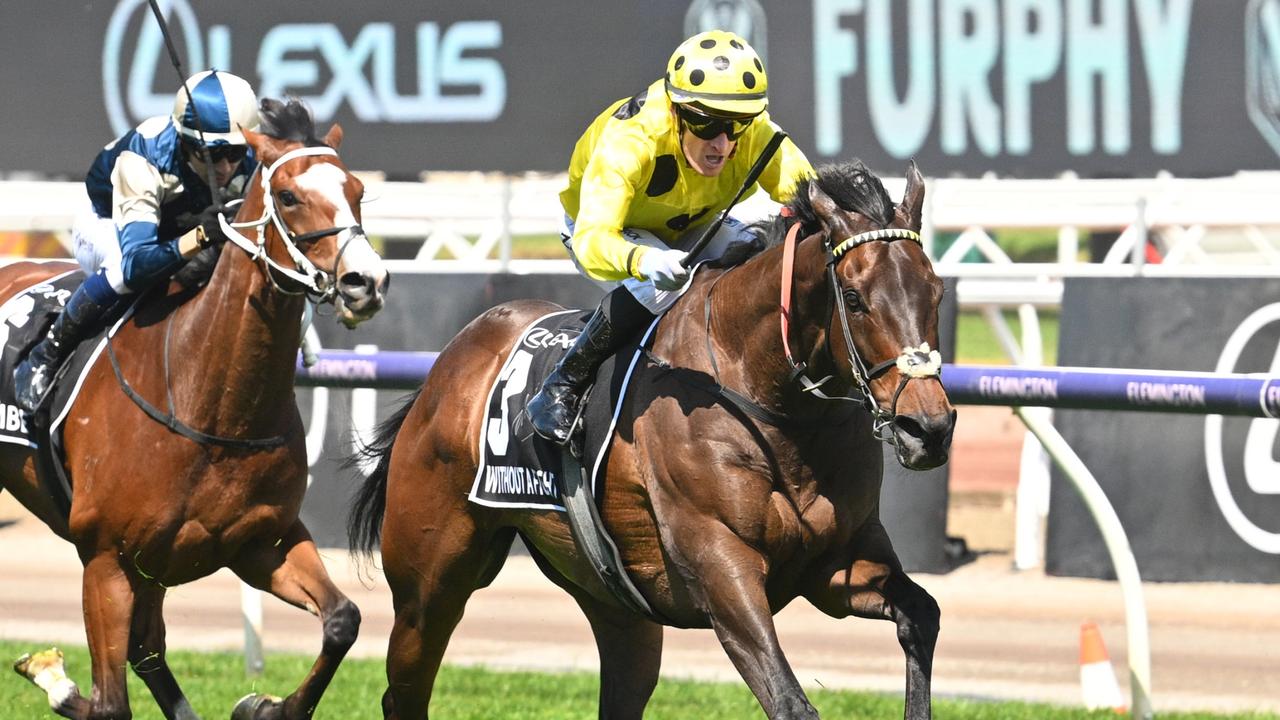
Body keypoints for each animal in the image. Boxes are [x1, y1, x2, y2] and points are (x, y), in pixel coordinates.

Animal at [1, 96, 389, 717]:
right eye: (287, 196)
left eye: (356, 190)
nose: (365, 281)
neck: (208, 404)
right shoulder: (104, 558)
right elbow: (111, 703)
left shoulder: (260, 542)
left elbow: (342, 621)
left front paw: (269, 705)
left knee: (148, 649)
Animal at [348, 159, 952, 712]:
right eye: (853, 297)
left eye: (937, 291)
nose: (927, 428)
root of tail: (450, 363)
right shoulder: (721, 567)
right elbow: (790, 701)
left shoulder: (835, 563)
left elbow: (922, 615)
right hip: (428, 584)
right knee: (404, 690)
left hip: (617, 603)